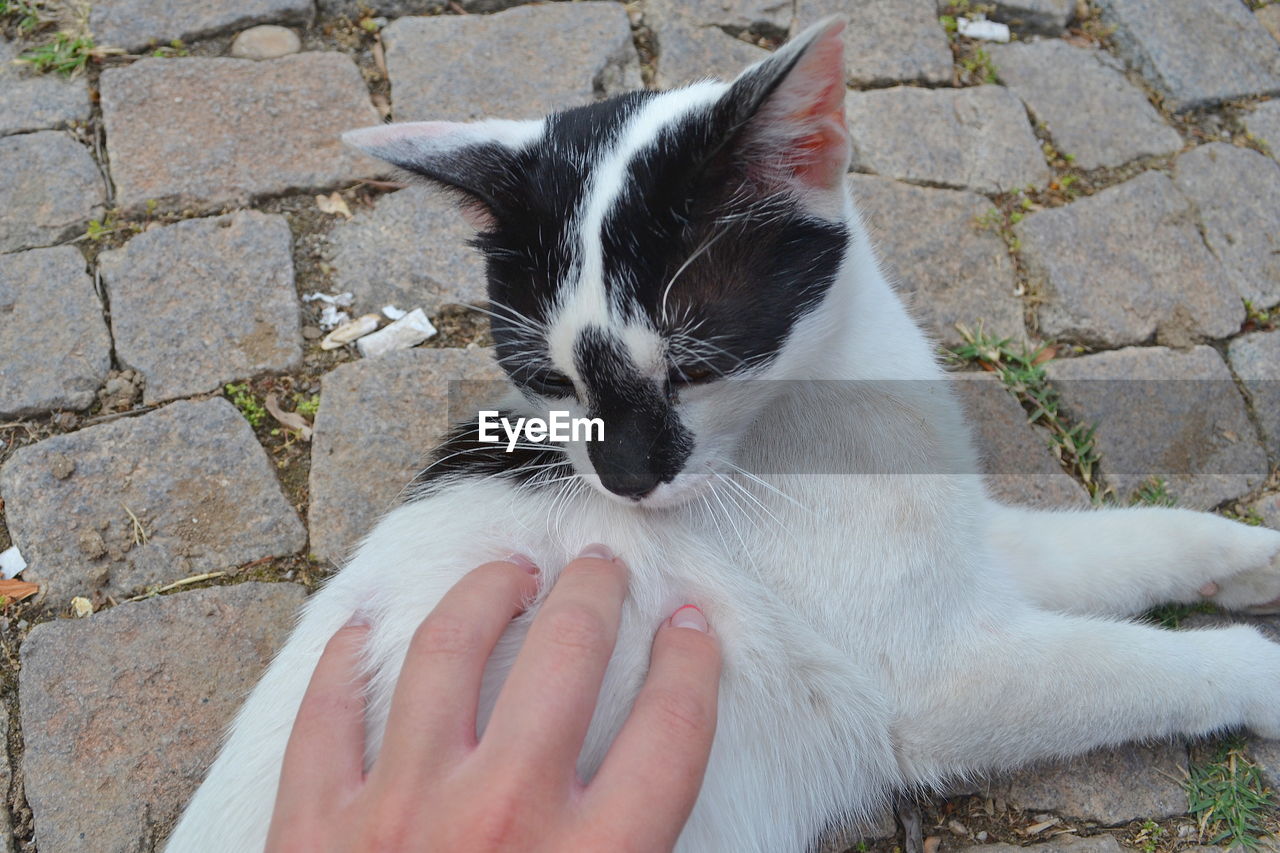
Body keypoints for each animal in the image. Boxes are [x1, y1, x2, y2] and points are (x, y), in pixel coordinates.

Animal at [162, 14, 1280, 850]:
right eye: (548, 380)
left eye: (695, 367)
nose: (624, 481)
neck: (826, 398)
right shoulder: (939, 675)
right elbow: (1149, 666)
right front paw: (1260, 671)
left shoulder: (979, 553)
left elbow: (1144, 538)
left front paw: (1253, 559)